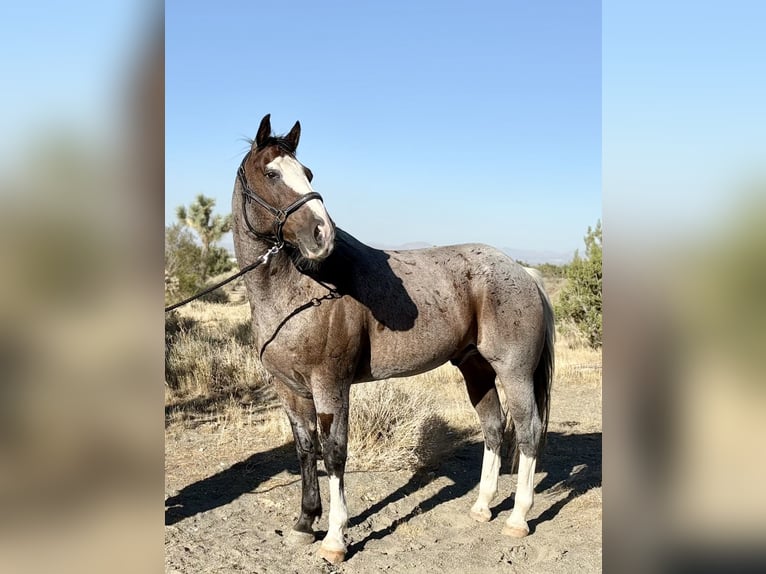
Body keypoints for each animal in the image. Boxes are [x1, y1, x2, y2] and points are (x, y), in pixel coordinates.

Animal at [231, 114, 555, 564]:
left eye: (307, 173)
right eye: (271, 173)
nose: (322, 234)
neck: (301, 289)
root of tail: (523, 272)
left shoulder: (330, 385)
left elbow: (334, 453)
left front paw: (335, 539)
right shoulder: (289, 389)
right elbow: (306, 449)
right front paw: (304, 524)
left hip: (514, 373)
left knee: (527, 431)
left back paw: (518, 518)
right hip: (475, 370)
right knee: (493, 428)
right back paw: (481, 507)